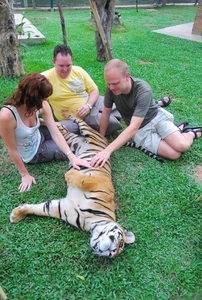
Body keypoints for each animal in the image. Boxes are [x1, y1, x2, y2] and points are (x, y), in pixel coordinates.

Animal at [9, 109, 136, 258]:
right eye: (120, 242)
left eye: (119, 249)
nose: (112, 252)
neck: (91, 222)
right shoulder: (101, 182)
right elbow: (84, 180)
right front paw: (70, 173)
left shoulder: (59, 207)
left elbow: (38, 209)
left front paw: (16, 214)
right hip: (88, 132)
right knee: (78, 120)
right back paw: (63, 112)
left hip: (70, 140)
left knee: (61, 129)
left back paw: (41, 120)